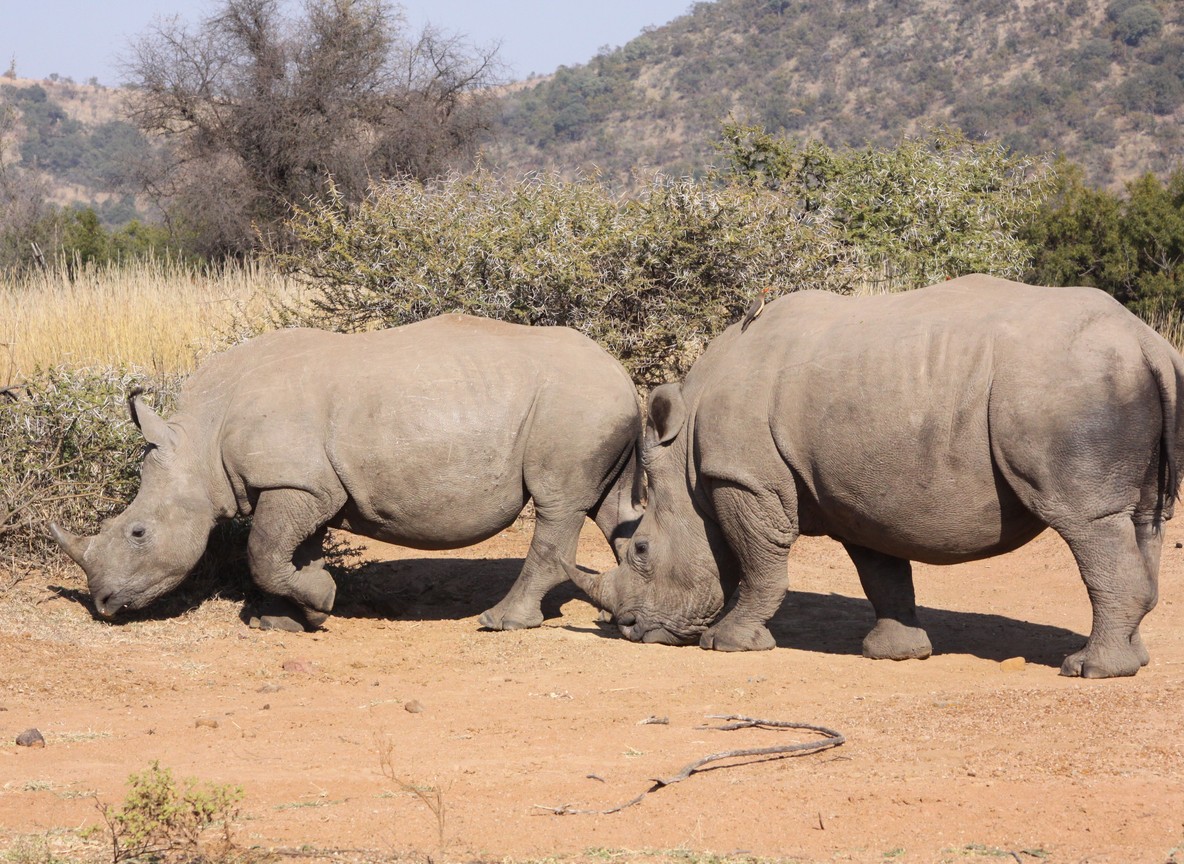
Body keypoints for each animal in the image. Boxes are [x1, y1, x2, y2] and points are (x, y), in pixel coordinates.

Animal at [50, 315, 642, 631]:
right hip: (595, 408)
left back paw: (500, 622)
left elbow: (263, 552)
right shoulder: (307, 482)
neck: (200, 439)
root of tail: (619, 369)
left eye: (137, 532)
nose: (103, 604)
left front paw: (319, 602)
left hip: (573, 407)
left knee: (559, 505)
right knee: (608, 507)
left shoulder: (293, 480)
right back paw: (629, 617)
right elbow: (289, 550)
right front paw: (291, 618)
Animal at [568, 275, 1184, 678]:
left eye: (642, 551)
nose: (629, 628)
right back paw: (1130, 660)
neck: (687, 454)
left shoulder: (743, 478)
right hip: (1115, 378)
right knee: (1142, 520)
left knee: (1086, 521)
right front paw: (895, 654)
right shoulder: (854, 492)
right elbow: (880, 572)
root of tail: (1145, 339)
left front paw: (727, 643)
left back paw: (1089, 670)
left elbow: (760, 561)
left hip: (1067, 386)